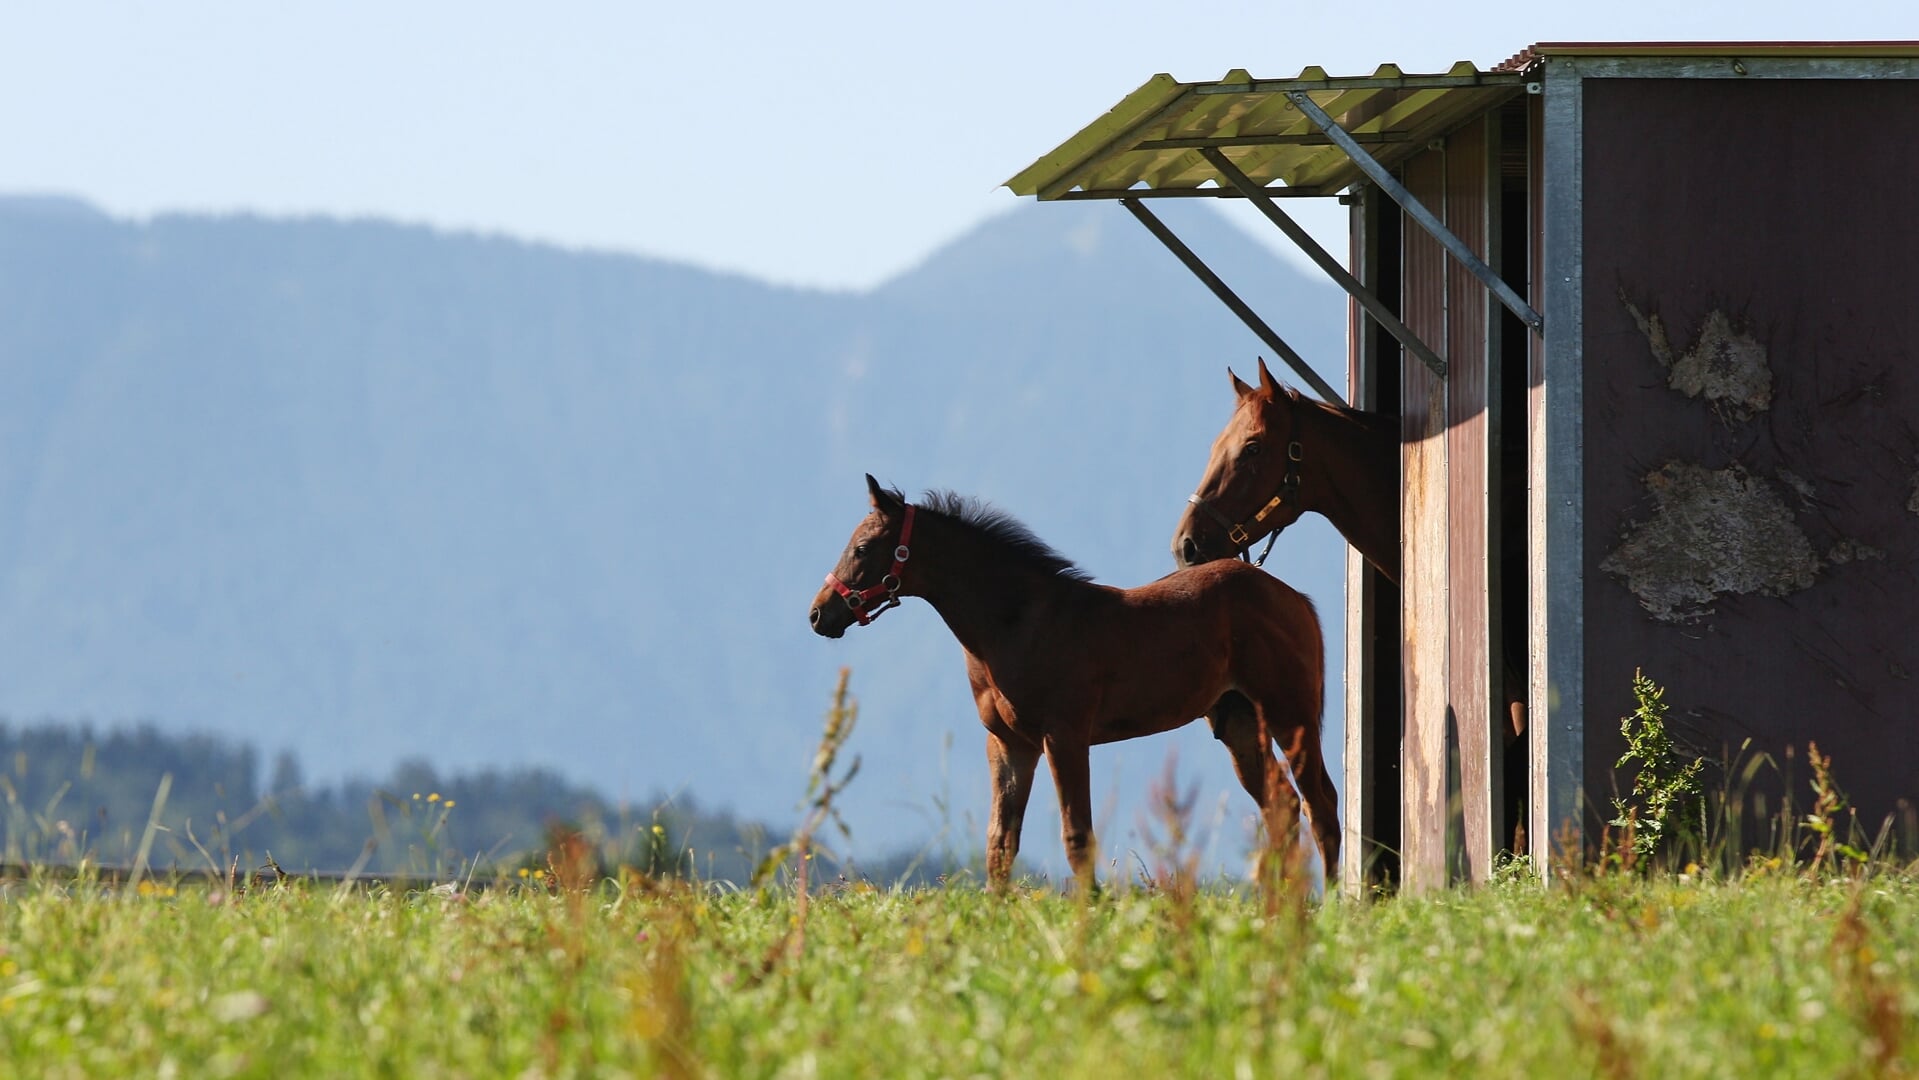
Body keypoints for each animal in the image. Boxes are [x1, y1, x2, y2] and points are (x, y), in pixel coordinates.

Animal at [809, 477, 1335, 890]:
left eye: (861, 548)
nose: (819, 614)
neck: (1019, 622)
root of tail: (1294, 597)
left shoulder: (1064, 736)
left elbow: (1077, 836)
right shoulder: (1009, 743)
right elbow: (1000, 843)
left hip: (1290, 715)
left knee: (1320, 803)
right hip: (1240, 723)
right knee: (1283, 805)